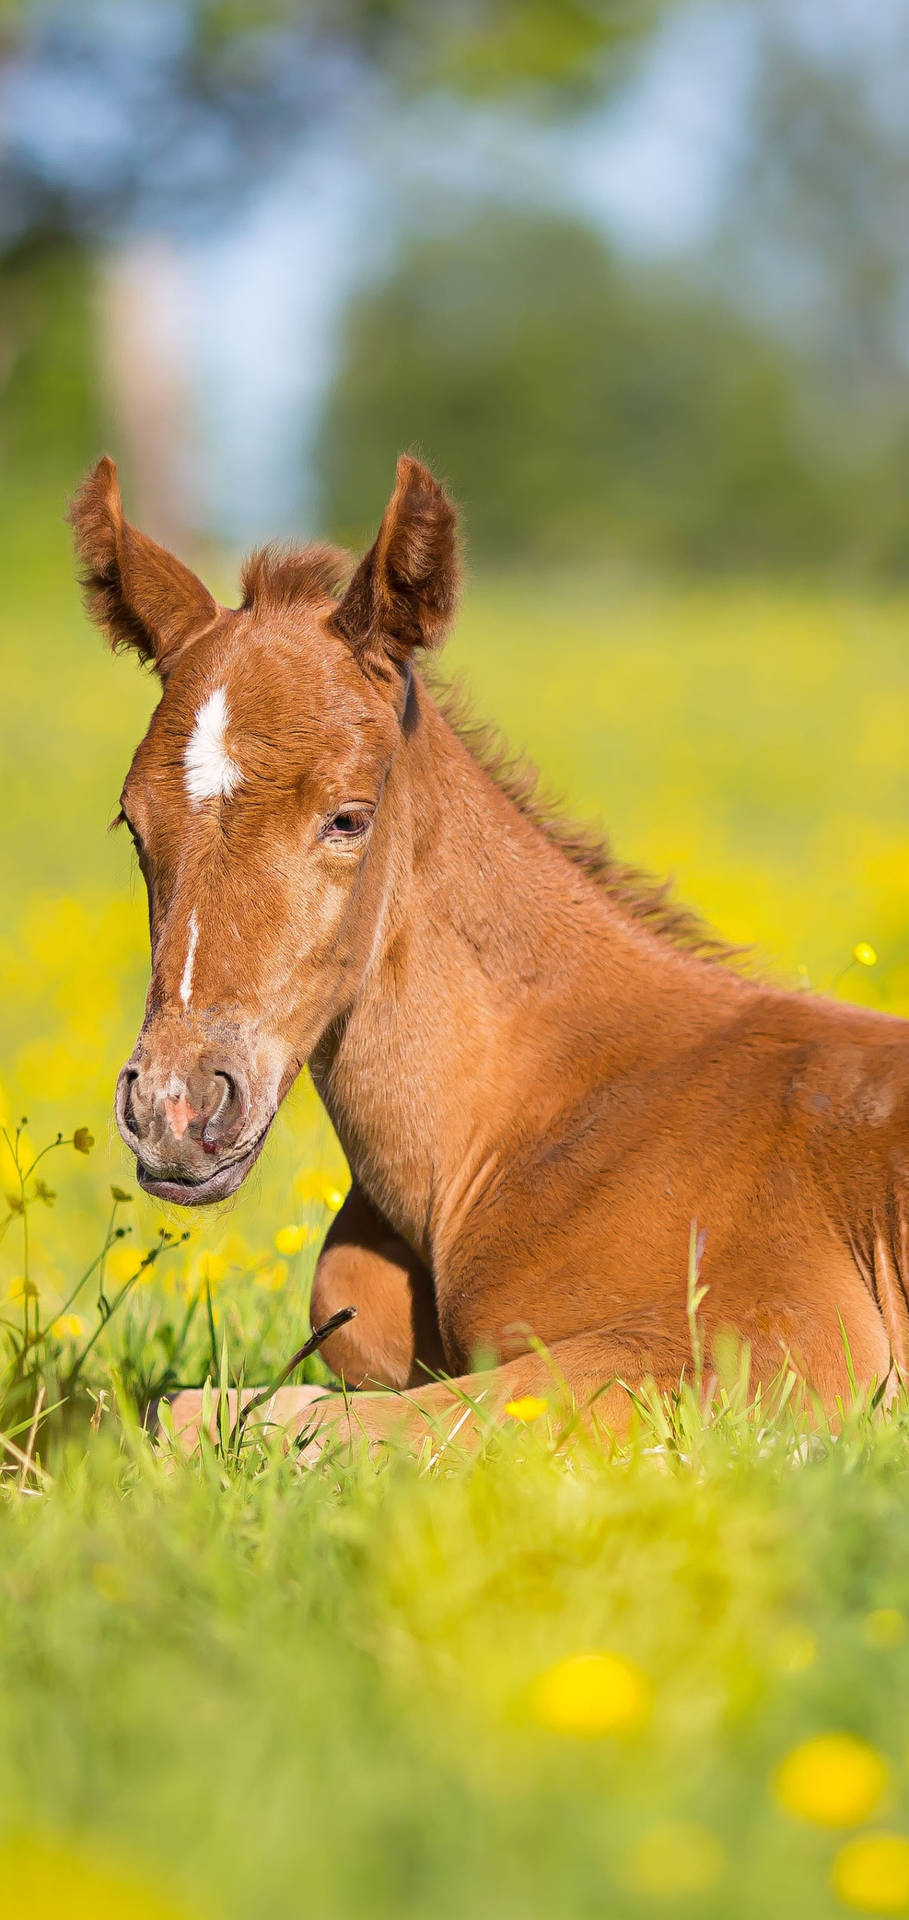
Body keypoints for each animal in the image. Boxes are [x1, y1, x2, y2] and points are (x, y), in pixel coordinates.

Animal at [69, 449, 907, 1451]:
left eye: (348, 817)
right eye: (131, 824)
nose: (174, 1106)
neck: (532, 1118)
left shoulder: (776, 1350)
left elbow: (289, 1420)